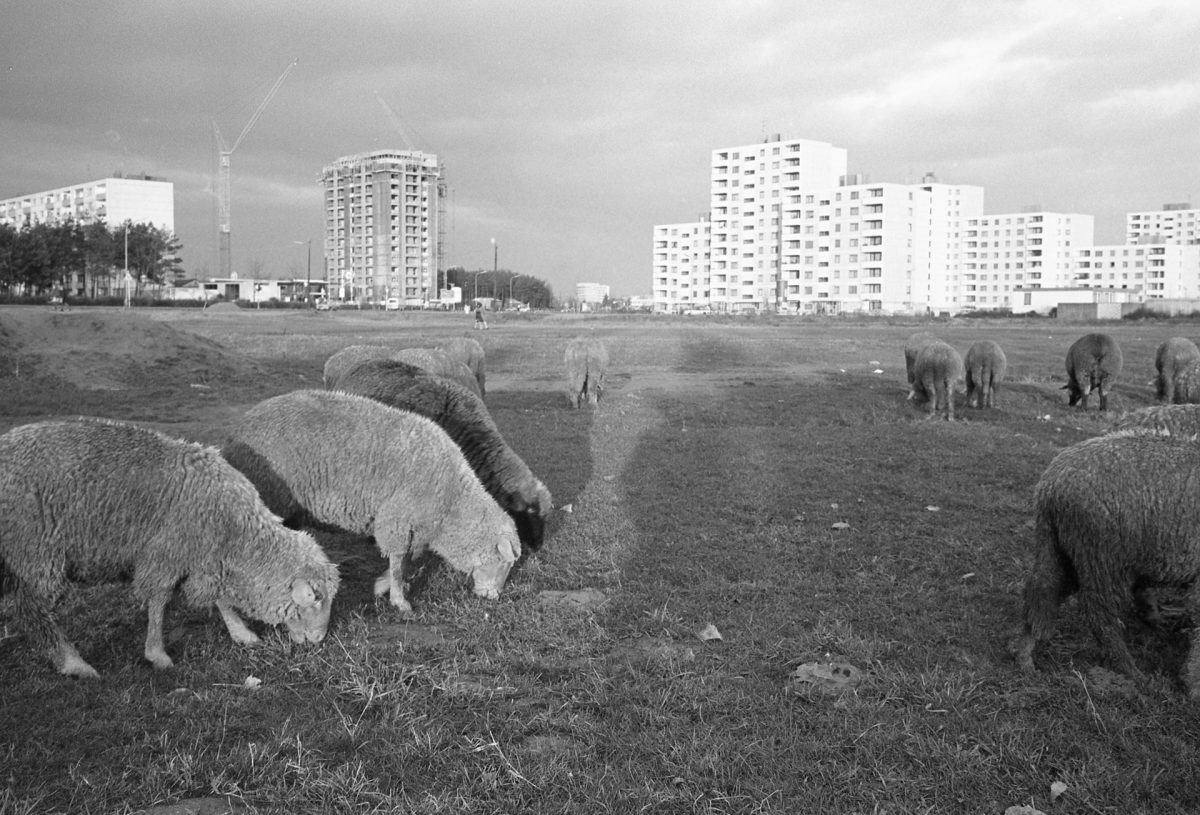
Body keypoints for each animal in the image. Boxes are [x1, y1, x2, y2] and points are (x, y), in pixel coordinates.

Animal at [0, 418, 339, 678]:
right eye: (315, 599)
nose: (319, 640)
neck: (237, 532)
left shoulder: (207, 558)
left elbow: (219, 599)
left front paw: (241, 633)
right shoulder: (168, 554)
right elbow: (159, 602)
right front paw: (157, 654)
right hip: (34, 550)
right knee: (33, 608)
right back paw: (73, 662)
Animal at [222, 389, 520, 614]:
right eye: (503, 562)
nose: (494, 597)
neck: (451, 502)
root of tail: (236, 431)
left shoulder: (414, 527)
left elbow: (407, 560)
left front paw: (385, 586)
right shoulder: (397, 520)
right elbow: (398, 562)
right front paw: (398, 599)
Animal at [1014, 432, 1200, 696]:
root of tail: (1051, 483)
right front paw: (1193, 686)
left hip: (1057, 545)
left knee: (1044, 590)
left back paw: (1025, 655)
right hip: (1103, 556)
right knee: (1100, 613)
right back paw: (1131, 670)